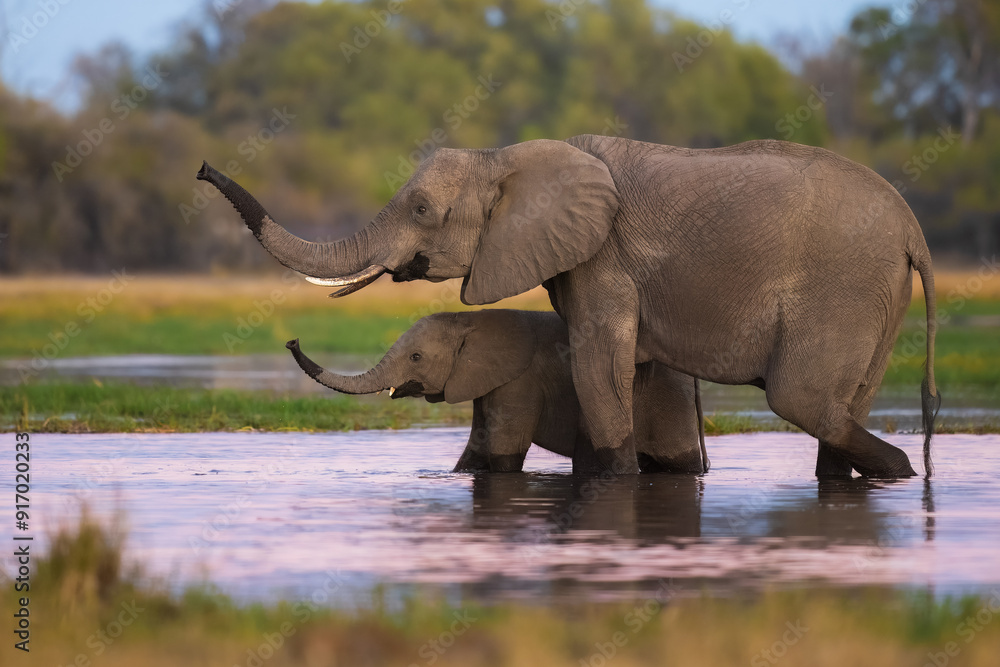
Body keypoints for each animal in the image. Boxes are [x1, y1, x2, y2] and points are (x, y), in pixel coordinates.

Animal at [285, 309, 708, 474]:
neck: (469, 320)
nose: (291, 340)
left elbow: (504, 453)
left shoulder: (518, 382)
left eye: (417, 357)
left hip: (667, 396)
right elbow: (476, 448)